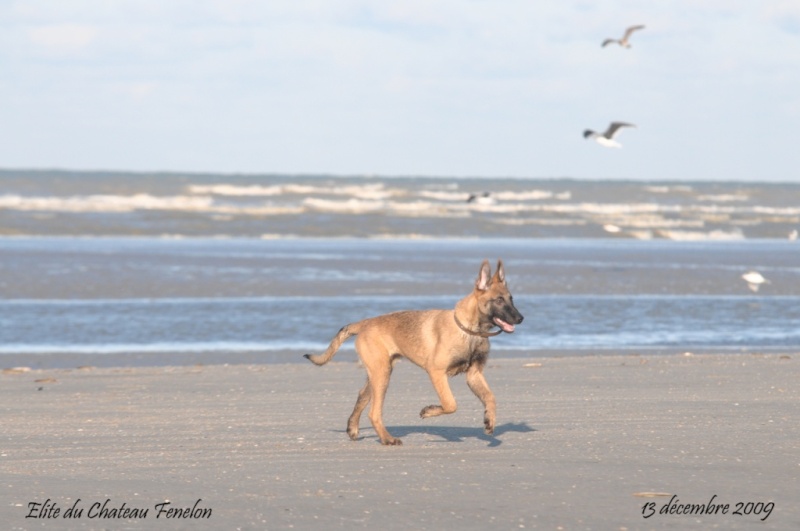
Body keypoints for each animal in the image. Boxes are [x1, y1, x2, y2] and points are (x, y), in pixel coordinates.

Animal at [304, 260, 520, 446]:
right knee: (374, 412)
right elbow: (450, 403)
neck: (469, 331)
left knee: (362, 397)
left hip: (377, 373)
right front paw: (429, 411)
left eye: (511, 299)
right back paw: (387, 439)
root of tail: (365, 323)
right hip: (382, 375)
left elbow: (490, 397)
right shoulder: (436, 372)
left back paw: (353, 428)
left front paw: (490, 420)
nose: (521, 318)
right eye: (499, 300)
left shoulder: (474, 374)